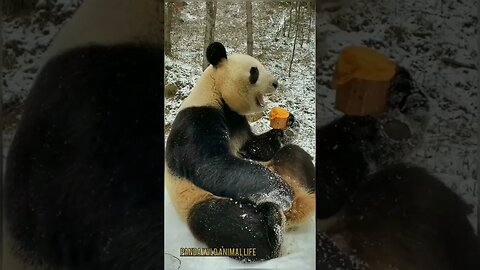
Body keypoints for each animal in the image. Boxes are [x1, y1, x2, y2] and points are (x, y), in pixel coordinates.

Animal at [164, 42, 316, 262]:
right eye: (254, 72)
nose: (275, 83)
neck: (216, 92)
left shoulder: (237, 121)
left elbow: (252, 146)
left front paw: (288, 126)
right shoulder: (197, 121)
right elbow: (213, 165)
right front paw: (282, 192)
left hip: (282, 167)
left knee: (294, 154)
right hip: (198, 199)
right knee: (225, 223)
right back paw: (273, 225)